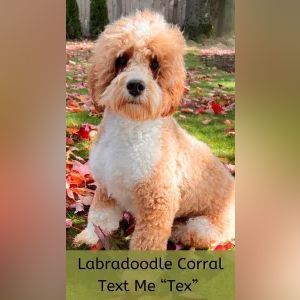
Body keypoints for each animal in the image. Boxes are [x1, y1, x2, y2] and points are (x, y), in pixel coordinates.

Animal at [73, 10, 234, 250]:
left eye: (155, 64)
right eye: (121, 60)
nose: (135, 85)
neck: (131, 126)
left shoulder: (158, 202)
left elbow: (146, 243)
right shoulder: (106, 187)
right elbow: (100, 217)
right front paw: (90, 236)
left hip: (204, 227)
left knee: (192, 233)